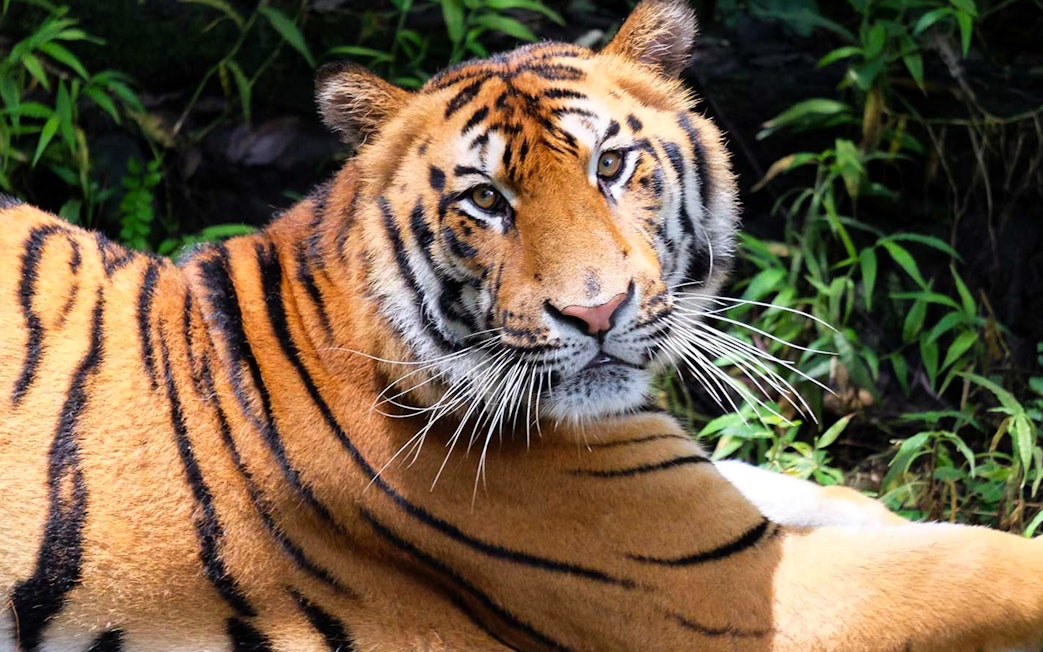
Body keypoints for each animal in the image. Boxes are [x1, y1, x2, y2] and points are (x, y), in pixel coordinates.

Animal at [1, 0, 1042, 650]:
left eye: (612, 166)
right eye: (486, 201)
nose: (595, 311)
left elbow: (835, 498)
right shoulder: (718, 590)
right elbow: (976, 571)